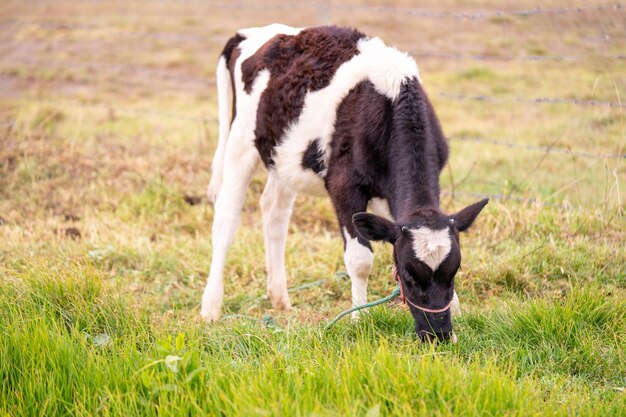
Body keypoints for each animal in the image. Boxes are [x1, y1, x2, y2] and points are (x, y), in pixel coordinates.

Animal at [201, 24, 488, 340]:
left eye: (454, 272)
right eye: (409, 275)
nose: (438, 334)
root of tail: (251, 33)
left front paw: (457, 313)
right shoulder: (343, 187)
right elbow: (360, 259)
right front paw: (358, 318)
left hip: (284, 159)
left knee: (274, 213)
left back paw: (280, 299)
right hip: (240, 143)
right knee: (225, 220)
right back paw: (211, 307)